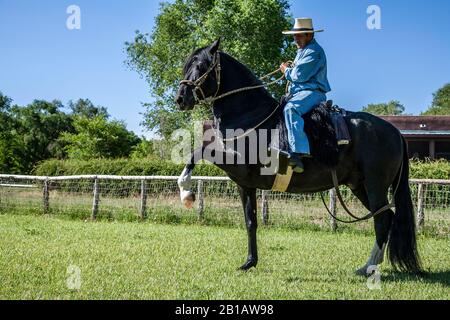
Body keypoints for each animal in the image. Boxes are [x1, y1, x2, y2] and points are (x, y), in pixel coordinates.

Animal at [174, 39, 420, 276]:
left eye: (200, 65)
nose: (180, 98)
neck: (251, 115)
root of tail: (395, 132)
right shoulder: (245, 183)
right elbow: (250, 221)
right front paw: (249, 262)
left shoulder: (237, 164)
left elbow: (199, 152)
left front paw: (187, 193)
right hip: (359, 186)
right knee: (387, 217)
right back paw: (368, 266)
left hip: (375, 186)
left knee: (382, 220)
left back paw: (369, 267)